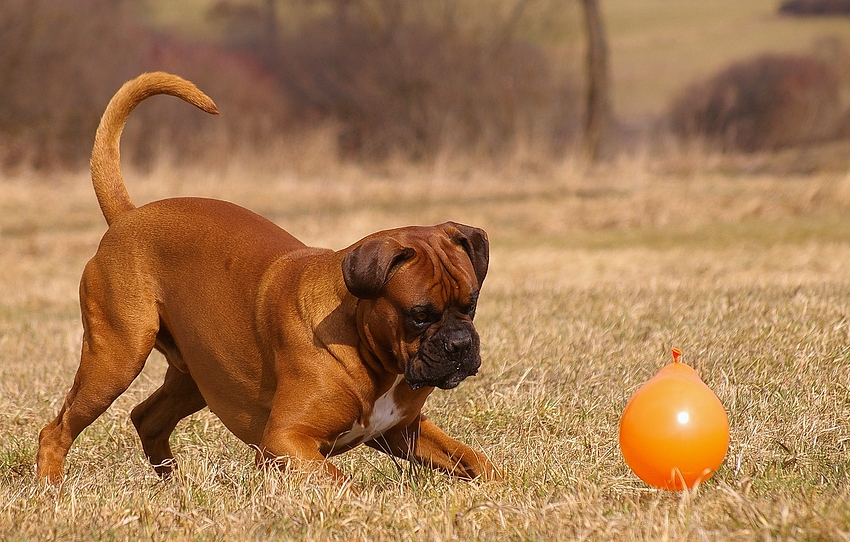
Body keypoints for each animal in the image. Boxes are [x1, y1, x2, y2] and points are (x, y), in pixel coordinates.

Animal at [34, 71, 496, 484]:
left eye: (471, 304)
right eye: (419, 314)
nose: (460, 344)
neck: (361, 339)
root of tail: (128, 218)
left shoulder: (404, 431)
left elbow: (474, 459)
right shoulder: (286, 440)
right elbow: (341, 480)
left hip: (196, 377)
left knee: (146, 418)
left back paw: (178, 485)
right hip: (115, 360)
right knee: (56, 431)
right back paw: (51, 489)